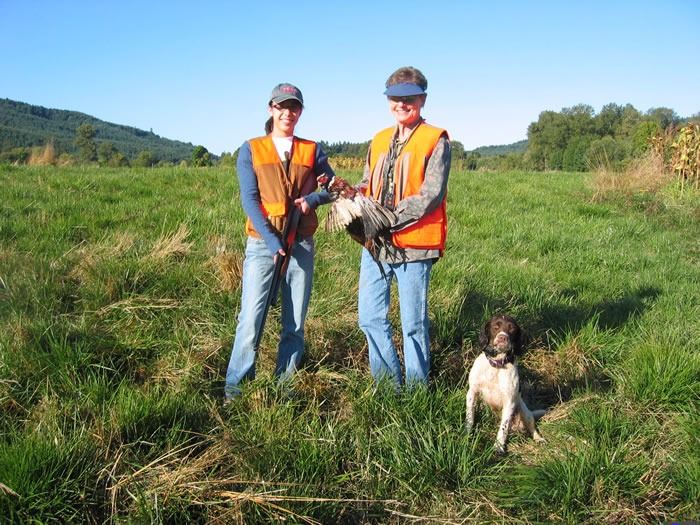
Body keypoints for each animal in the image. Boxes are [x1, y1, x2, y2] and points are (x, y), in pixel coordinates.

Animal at [466, 314, 545, 454]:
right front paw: (467, 435)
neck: (496, 366)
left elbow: (503, 427)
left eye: (512, 328)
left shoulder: (510, 401)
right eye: (495, 327)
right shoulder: (472, 393)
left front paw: (499, 447)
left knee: (532, 427)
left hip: (524, 411)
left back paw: (539, 439)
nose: (503, 337)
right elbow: (470, 417)